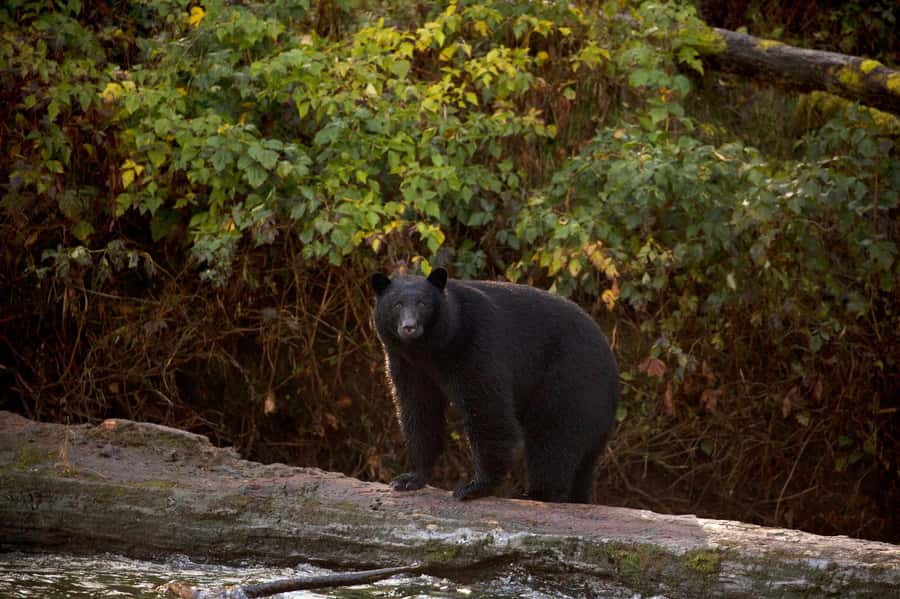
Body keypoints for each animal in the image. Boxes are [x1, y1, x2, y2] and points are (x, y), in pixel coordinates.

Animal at [371, 267, 619, 503]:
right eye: (396, 305)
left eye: (423, 303)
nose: (409, 327)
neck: (429, 349)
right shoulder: (407, 363)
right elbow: (418, 408)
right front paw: (410, 478)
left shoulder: (475, 344)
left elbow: (487, 408)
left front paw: (474, 487)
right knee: (582, 462)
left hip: (571, 381)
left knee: (553, 434)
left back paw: (536, 493)